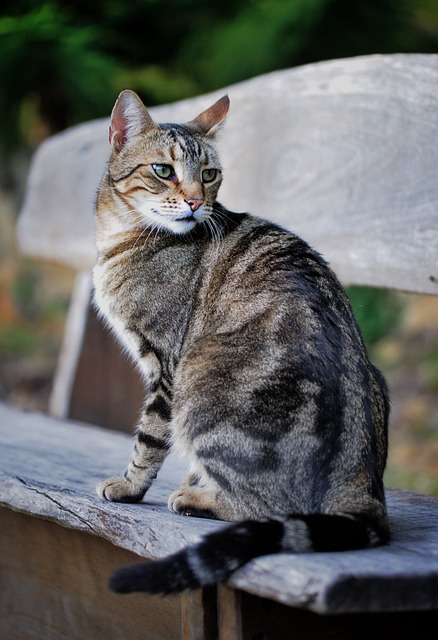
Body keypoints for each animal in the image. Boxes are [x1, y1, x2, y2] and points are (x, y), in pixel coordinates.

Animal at [93, 89, 390, 596]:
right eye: (163, 170)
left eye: (209, 174)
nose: (196, 202)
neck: (122, 237)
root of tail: (363, 487)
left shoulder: (167, 366)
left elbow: (150, 437)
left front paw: (130, 487)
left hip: (200, 376)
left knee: (265, 509)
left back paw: (198, 498)